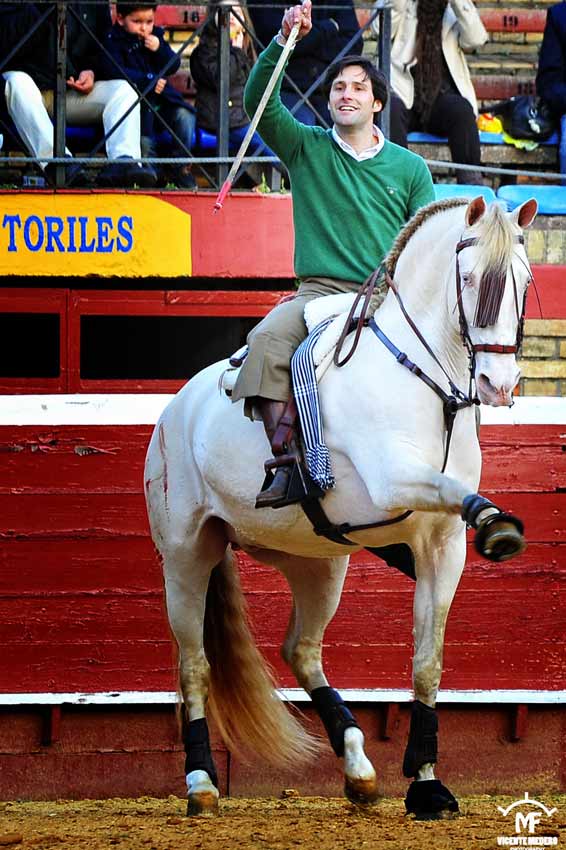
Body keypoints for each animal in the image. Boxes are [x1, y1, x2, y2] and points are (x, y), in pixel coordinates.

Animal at [145, 195, 536, 820]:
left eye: (524, 281)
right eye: (471, 279)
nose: (499, 384)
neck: (428, 383)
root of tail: (174, 410)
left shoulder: (442, 546)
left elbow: (427, 661)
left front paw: (427, 784)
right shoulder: (391, 480)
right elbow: (453, 494)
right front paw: (497, 526)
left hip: (316, 562)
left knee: (301, 650)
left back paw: (357, 765)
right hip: (185, 554)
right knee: (193, 663)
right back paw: (202, 783)